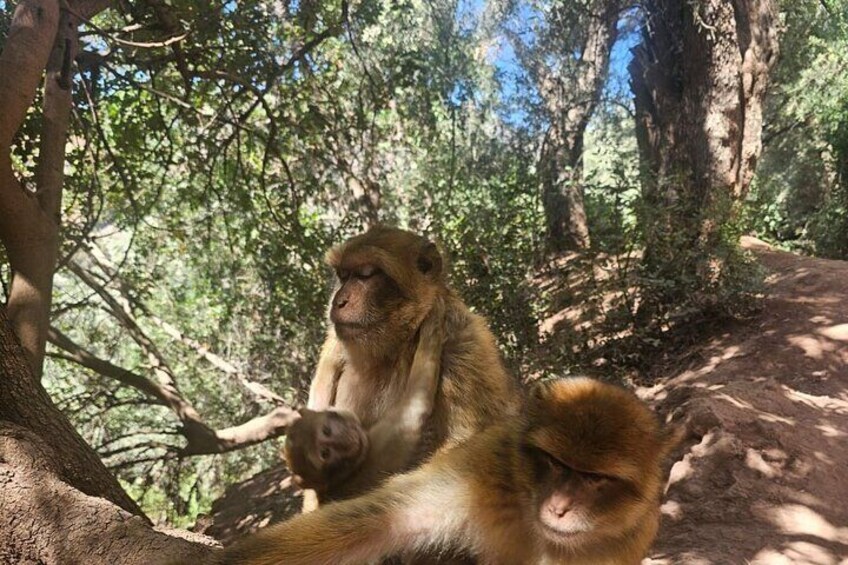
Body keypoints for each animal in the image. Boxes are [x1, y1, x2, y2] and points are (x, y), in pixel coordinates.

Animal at [222, 377, 682, 565]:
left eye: (594, 478)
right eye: (555, 463)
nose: (559, 507)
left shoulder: (628, 538)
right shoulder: (484, 470)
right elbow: (381, 520)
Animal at [289, 226, 518, 513]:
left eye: (366, 275)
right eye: (343, 276)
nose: (338, 301)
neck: (396, 345)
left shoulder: (462, 343)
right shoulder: (333, 347)